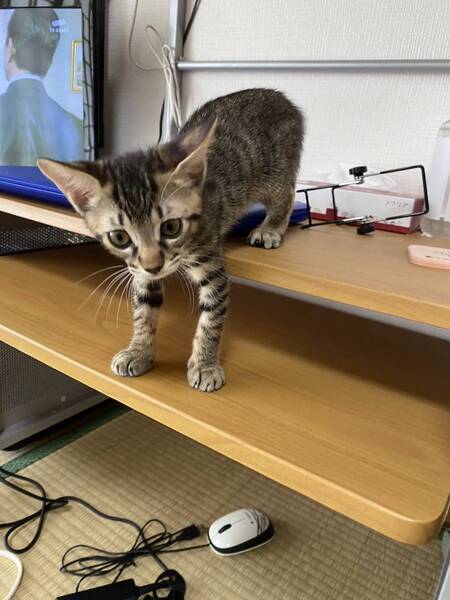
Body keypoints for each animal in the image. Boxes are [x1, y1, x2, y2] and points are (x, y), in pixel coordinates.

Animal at [38, 88, 304, 392]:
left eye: (171, 227)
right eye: (119, 237)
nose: (154, 266)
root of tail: (278, 95)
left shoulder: (211, 260)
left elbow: (211, 318)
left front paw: (205, 365)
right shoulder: (139, 272)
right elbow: (143, 309)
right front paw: (139, 351)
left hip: (274, 172)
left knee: (287, 193)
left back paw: (270, 227)